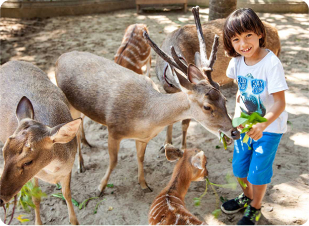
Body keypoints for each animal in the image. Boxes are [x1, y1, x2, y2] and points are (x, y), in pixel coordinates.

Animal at [0, 60, 82, 224]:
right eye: (3, 152)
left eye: (28, 161)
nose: (1, 198)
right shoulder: (35, 176)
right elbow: (35, 199)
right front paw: (38, 222)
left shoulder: (67, 170)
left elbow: (67, 194)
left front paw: (75, 221)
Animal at [156, 6, 282, 152]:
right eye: (207, 106)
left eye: (225, 100)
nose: (234, 133)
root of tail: (277, 32)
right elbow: (168, 120)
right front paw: (166, 145)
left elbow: (185, 123)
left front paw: (183, 149)